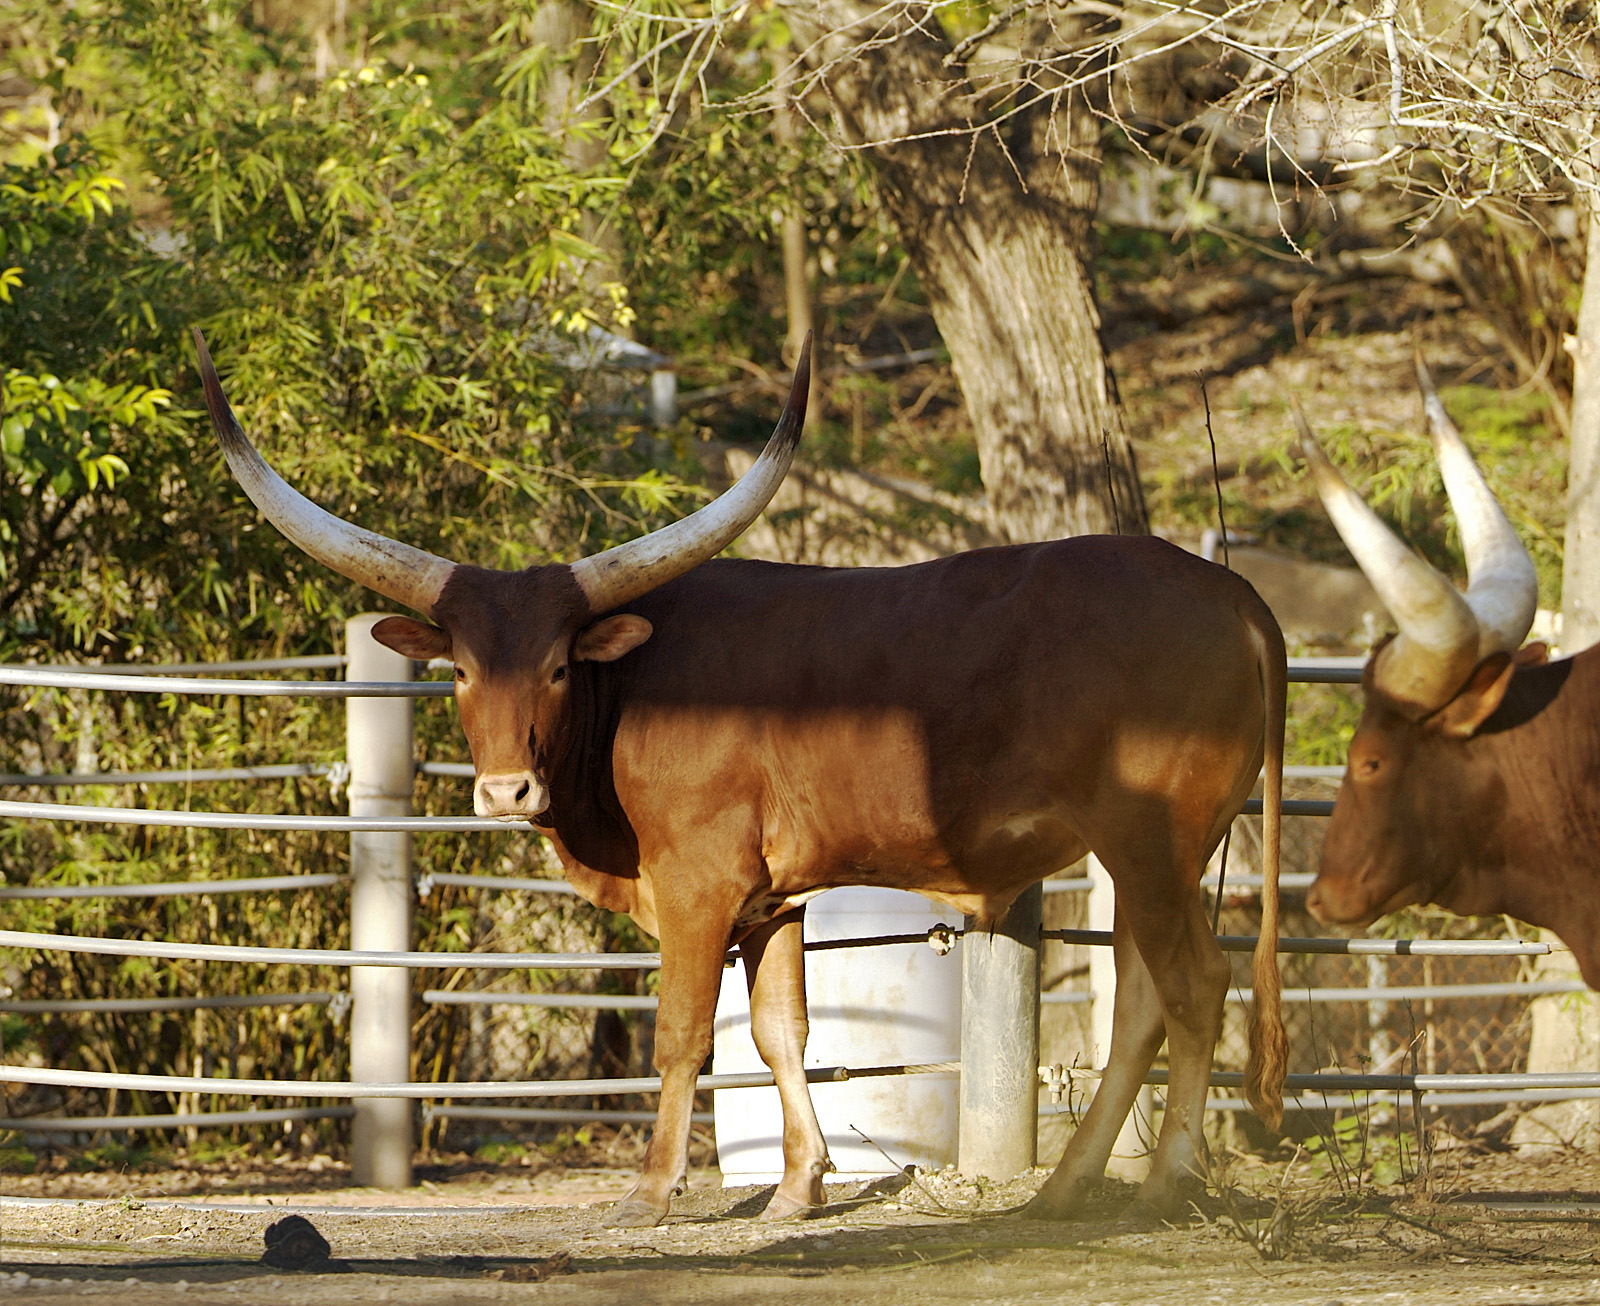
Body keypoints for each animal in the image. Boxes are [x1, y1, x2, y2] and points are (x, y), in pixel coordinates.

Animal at [193, 326, 1286, 1222]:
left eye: (557, 665)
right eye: (458, 668)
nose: (505, 791)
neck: (634, 685)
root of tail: (1230, 591)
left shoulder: (698, 882)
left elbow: (682, 1031)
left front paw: (651, 1190)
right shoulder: (774, 898)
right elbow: (778, 1032)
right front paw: (800, 1186)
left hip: (1153, 843)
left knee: (1195, 986)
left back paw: (1169, 1178)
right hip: (1157, 853)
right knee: (1145, 1000)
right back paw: (1065, 1190)